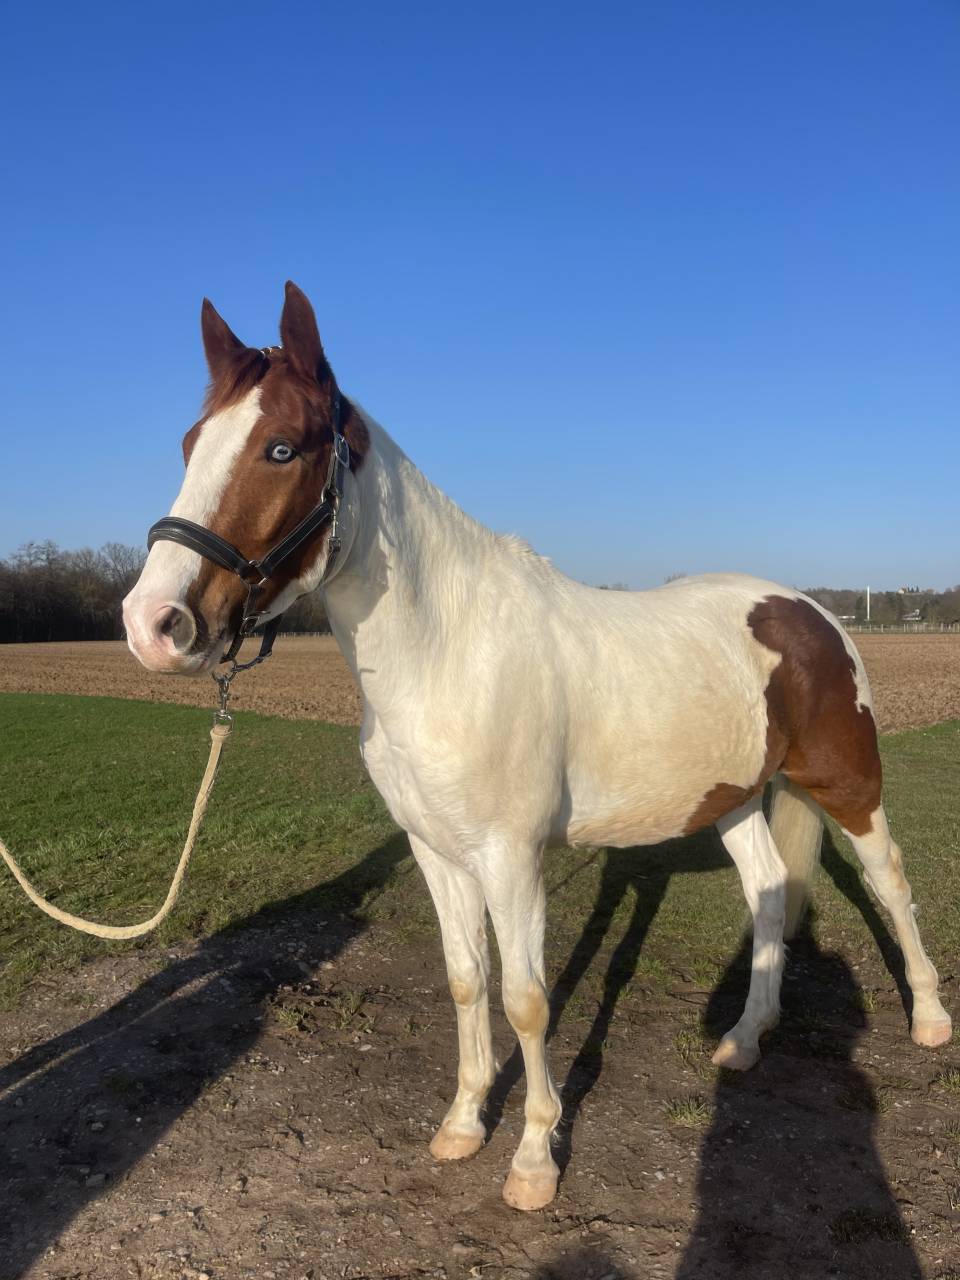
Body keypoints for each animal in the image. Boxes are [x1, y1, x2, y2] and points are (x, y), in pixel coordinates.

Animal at [122, 281, 952, 1211]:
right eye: (191, 444)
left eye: (279, 448)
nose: (154, 624)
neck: (447, 651)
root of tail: (810, 611)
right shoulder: (435, 850)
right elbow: (465, 979)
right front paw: (462, 1125)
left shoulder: (509, 856)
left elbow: (525, 999)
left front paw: (533, 1161)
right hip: (734, 798)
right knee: (770, 894)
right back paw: (745, 1038)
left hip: (849, 783)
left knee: (889, 881)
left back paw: (928, 1019)